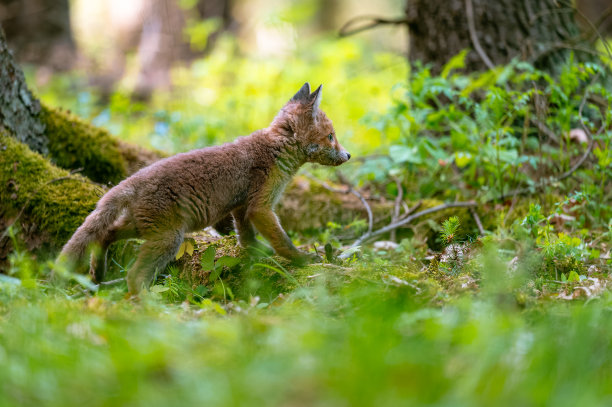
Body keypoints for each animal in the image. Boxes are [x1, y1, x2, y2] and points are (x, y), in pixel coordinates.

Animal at [61, 83, 354, 294]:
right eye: (331, 136)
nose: (349, 155)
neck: (276, 148)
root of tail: (133, 180)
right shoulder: (260, 206)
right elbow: (282, 241)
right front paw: (303, 259)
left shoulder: (241, 206)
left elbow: (246, 238)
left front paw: (256, 254)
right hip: (168, 238)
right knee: (134, 275)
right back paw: (146, 308)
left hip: (146, 229)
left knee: (104, 234)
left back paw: (97, 274)